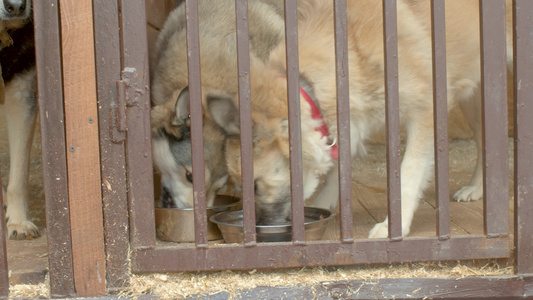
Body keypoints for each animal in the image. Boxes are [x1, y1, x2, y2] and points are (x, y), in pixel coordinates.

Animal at [206, 1, 512, 238]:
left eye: (255, 186)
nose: (257, 228)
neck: (350, 51)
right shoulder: (349, 122)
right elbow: (336, 171)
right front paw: (326, 206)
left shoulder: (425, 110)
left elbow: (409, 173)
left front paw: (394, 226)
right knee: (485, 141)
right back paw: (477, 188)